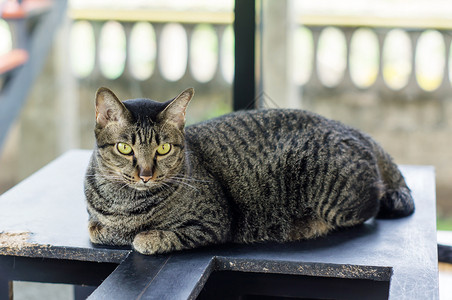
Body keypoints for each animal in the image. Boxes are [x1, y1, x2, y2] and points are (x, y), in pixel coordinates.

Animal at [83, 87, 414, 255]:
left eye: (163, 149)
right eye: (124, 148)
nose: (146, 174)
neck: (125, 203)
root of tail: (354, 129)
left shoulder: (213, 223)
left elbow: (146, 239)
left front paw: (141, 237)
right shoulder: (97, 220)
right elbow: (96, 229)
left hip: (335, 200)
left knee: (372, 206)